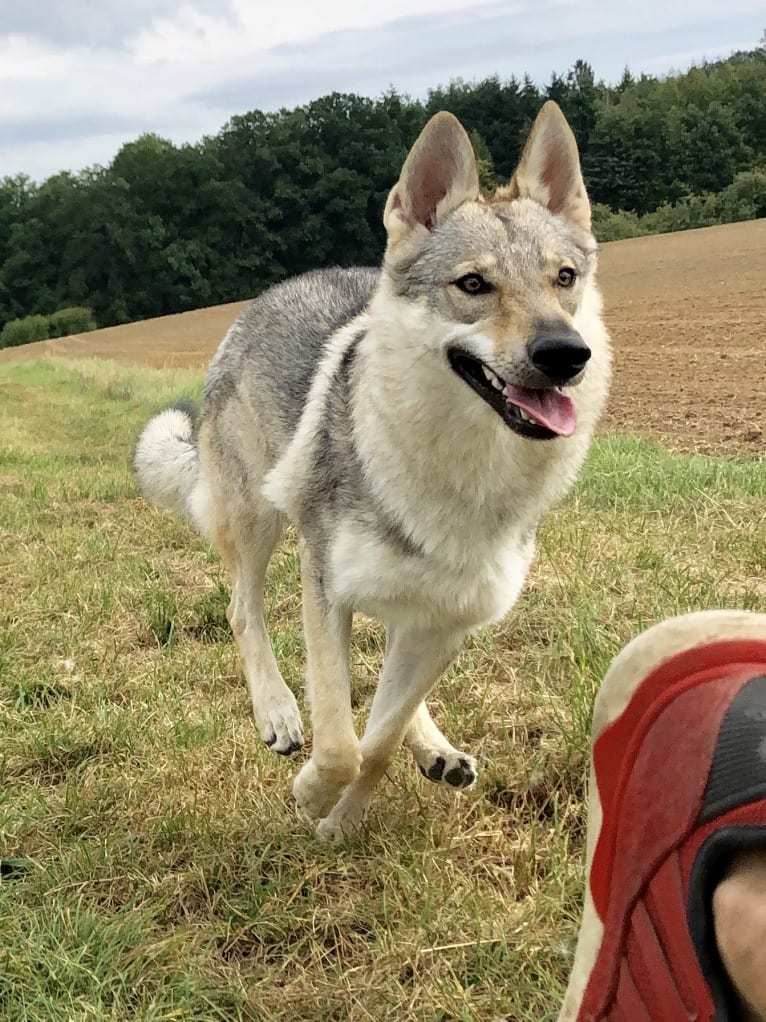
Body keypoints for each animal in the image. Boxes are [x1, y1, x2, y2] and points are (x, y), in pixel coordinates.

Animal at [133, 101, 612, 838]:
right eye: (473, 285)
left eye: (564, 279)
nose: (566, 353)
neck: (464, 473)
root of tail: (276, 289)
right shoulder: (325, 586)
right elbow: (339, 740)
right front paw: (314, 796)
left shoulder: (448, 622)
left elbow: (378, 742)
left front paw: (343, 819)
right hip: (258, 521)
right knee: (243, 611)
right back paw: (278, 712)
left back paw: (435, 750)